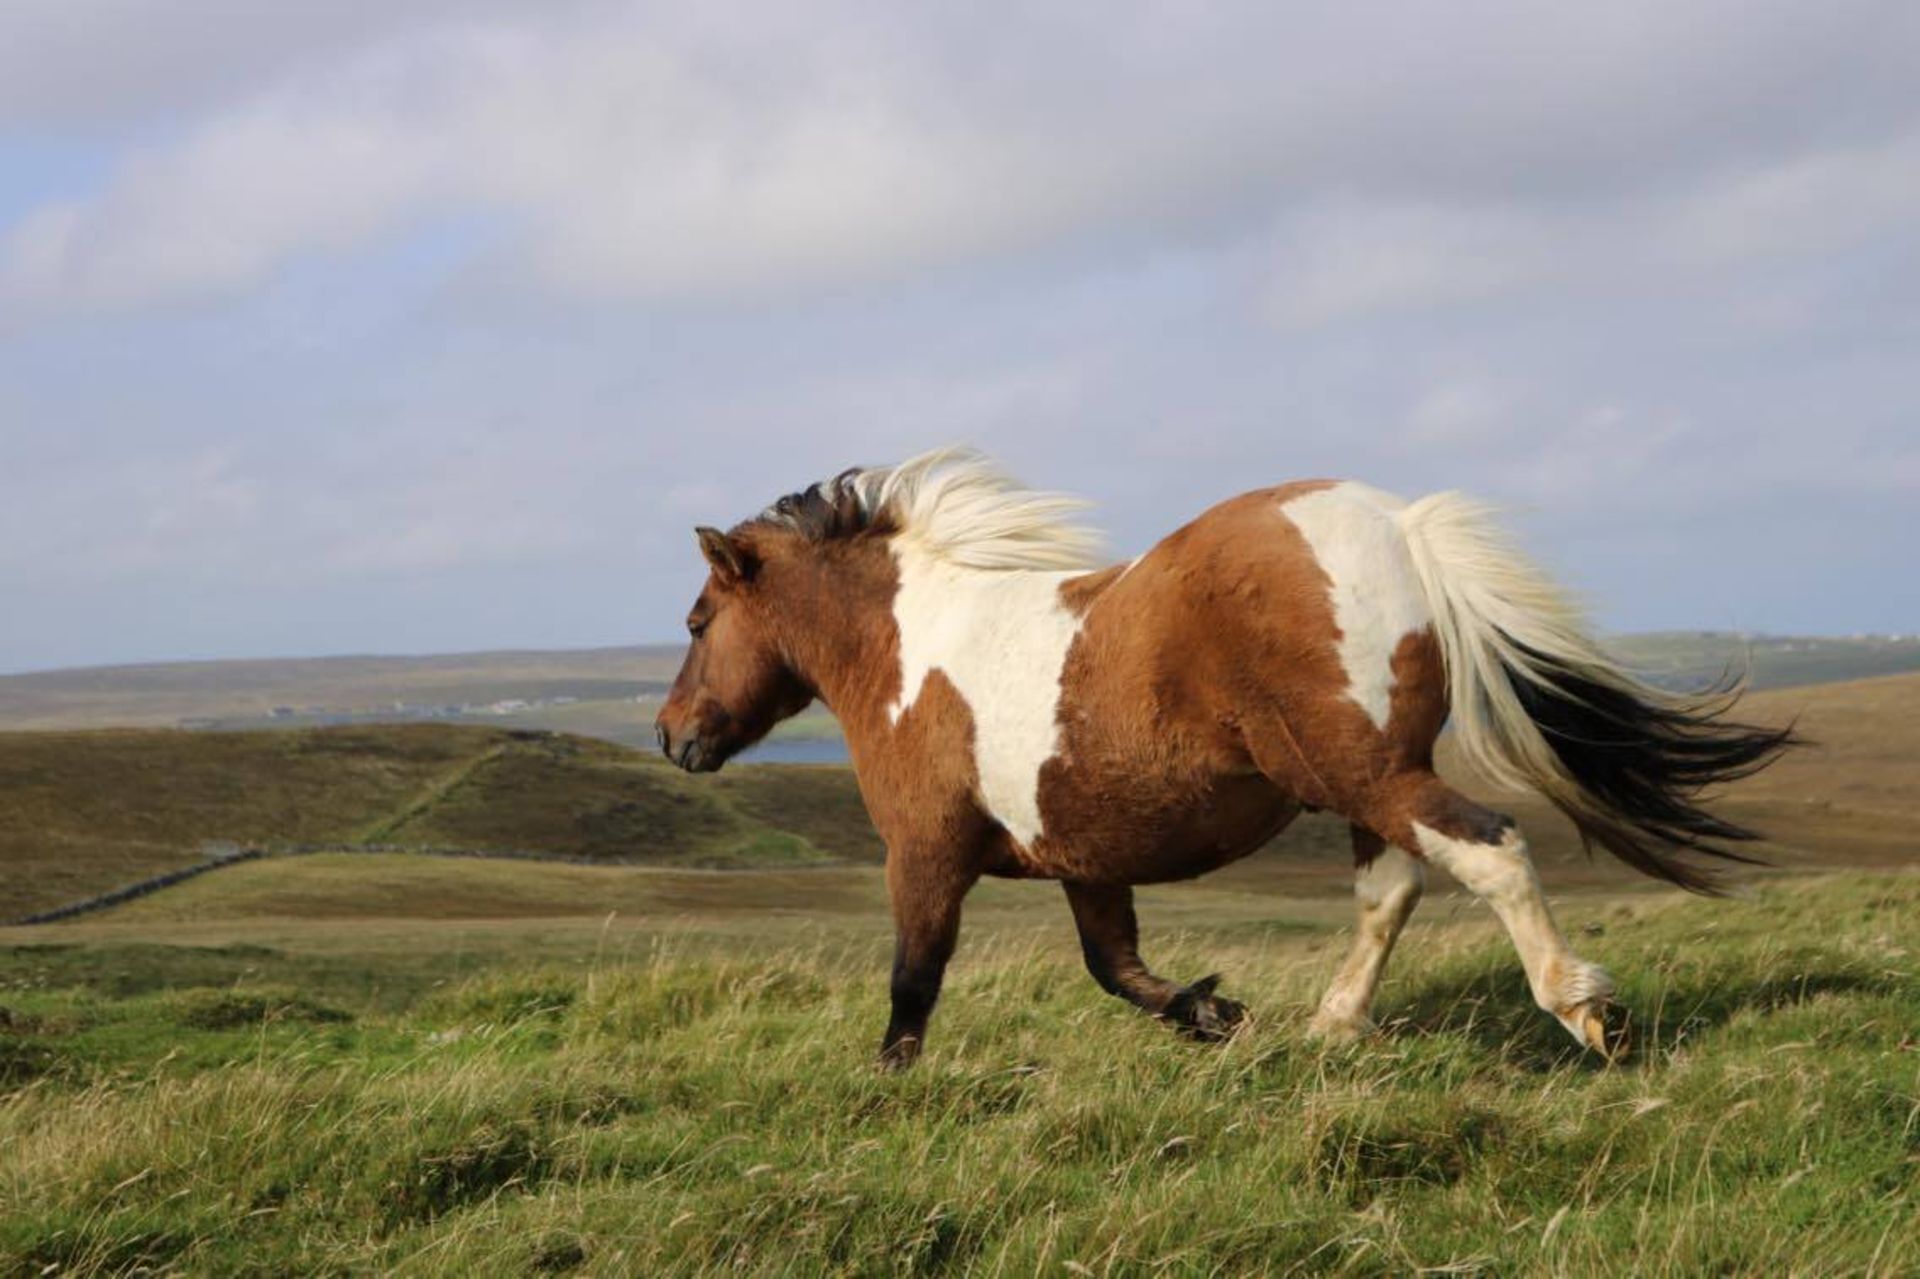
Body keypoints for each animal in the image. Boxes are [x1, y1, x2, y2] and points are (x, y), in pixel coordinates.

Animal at [652, 447, 1789, 1067]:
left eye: (699, 618)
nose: (671, 735)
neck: (909, 649)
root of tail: (1401, 526)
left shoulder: (926, 853)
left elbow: (913, 981)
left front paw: (891, 1088)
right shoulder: (1085, 858)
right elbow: (1116, 968)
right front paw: (1216, 1013)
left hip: (1364, 772)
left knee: (1491, 848)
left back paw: (1588, 1013)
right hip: (1362, 779)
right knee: (1393, 889)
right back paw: (1330, 1027)